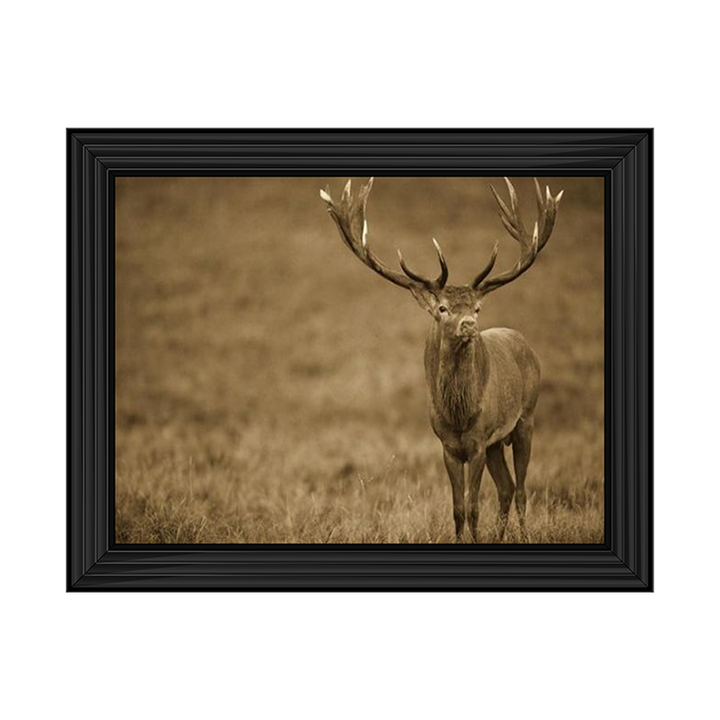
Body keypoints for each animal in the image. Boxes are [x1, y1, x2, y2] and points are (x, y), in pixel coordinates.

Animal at [320, 177, 563, 542]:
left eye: (477, 307)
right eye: (443, 308)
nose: (469, 325)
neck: (459, 414)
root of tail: (525, 344)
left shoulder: (477, 442)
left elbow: (474, 507)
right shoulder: (448, 446)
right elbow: (458, 508)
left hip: (526, 418)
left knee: (520, 489)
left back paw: (523, 535)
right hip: (497, 443)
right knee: (506, 488)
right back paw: (501, 536)